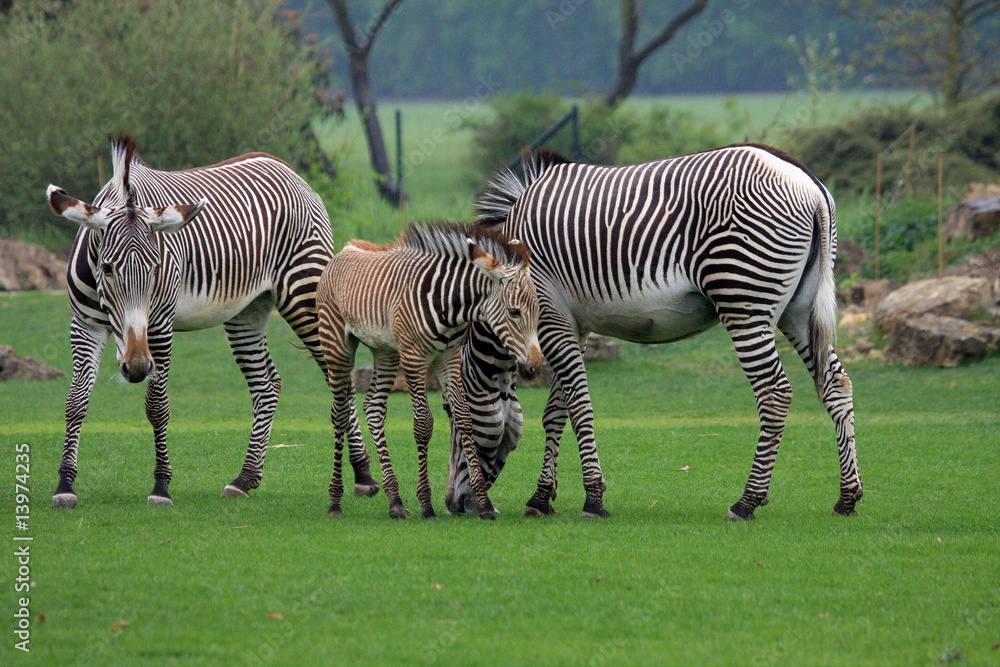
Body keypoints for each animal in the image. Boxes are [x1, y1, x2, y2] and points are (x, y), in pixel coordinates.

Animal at [47, 134, 377, 508]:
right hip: (246, 311)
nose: (137, 365)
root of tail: (286, 168)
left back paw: (364, 475)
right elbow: (75, 402)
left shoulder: (159, 325)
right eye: (107, 268)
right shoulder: (84, 325)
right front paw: (65, 484)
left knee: (341, 382)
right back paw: (245, 478)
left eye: (157, 268)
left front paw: (161, 486)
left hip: (303, 294)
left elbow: (156, 405)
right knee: (267, 385)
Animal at [316, 222, 542, 520]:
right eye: (514, 312)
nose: (535, 368)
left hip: (385, 351)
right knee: (339, 413)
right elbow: (423, 424)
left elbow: (464, 417)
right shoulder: (414, 359)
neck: (450, 305)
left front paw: (483, 504)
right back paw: (335, 501)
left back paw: (395, 501)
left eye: (538, 311)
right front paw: (426, 504)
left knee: (374, 408)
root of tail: (346, 249)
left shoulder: (449, 358)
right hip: (337, 345)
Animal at [466, 144, 863, 521]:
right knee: (836, 383)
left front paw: (593, 497)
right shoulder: (572, 325)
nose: (465, 506)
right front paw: (541, 497)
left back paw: (746, 502)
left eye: (461, 419)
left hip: (744, 300)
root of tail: (808, 182)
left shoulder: (549, 313)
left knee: (775, 393)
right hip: (799, 308)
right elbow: (556, 411)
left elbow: (578, 406)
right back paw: (847, 497)